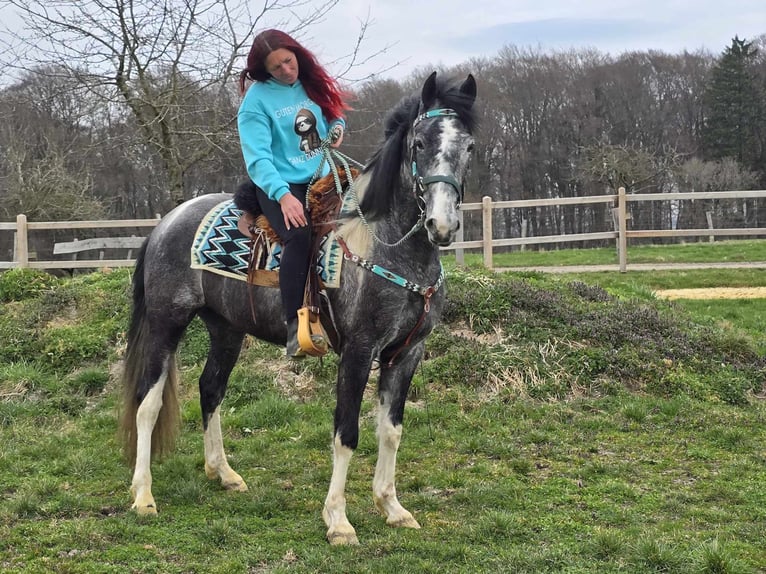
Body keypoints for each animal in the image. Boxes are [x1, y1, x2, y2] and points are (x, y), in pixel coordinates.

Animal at [118, 71, 477, 545]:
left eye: (468, 146)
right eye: (419, 143)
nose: (442, 224)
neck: (384, 244)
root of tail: (165, 223)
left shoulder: (406, 354)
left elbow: (391, 431)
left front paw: (392, 507)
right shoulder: (358, 351)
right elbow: (347, 432)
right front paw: (338, 521)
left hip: (227, 329)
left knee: (211, 389)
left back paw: (223, 473)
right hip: (165, 323)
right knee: (147, 403)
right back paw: (143, 495)